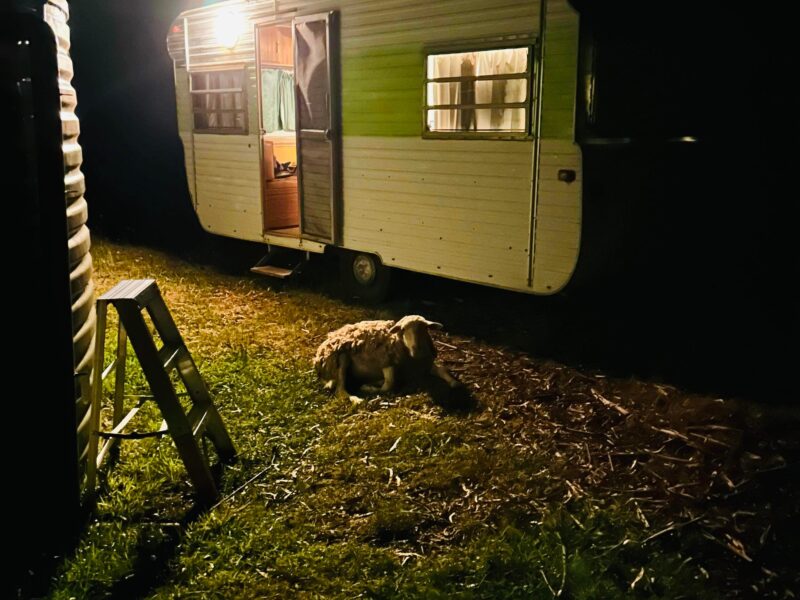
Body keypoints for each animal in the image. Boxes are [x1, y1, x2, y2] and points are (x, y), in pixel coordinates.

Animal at [314, 314, 460, 404]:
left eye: (424, 328)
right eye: (403, 329)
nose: (416, 350)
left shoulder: (425, 365)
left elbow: (442, 369)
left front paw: (454, 382)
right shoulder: (385, 361)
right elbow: (389, 385)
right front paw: (369, 388)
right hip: (341, 358)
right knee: (340, 390)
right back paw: (356, 399)